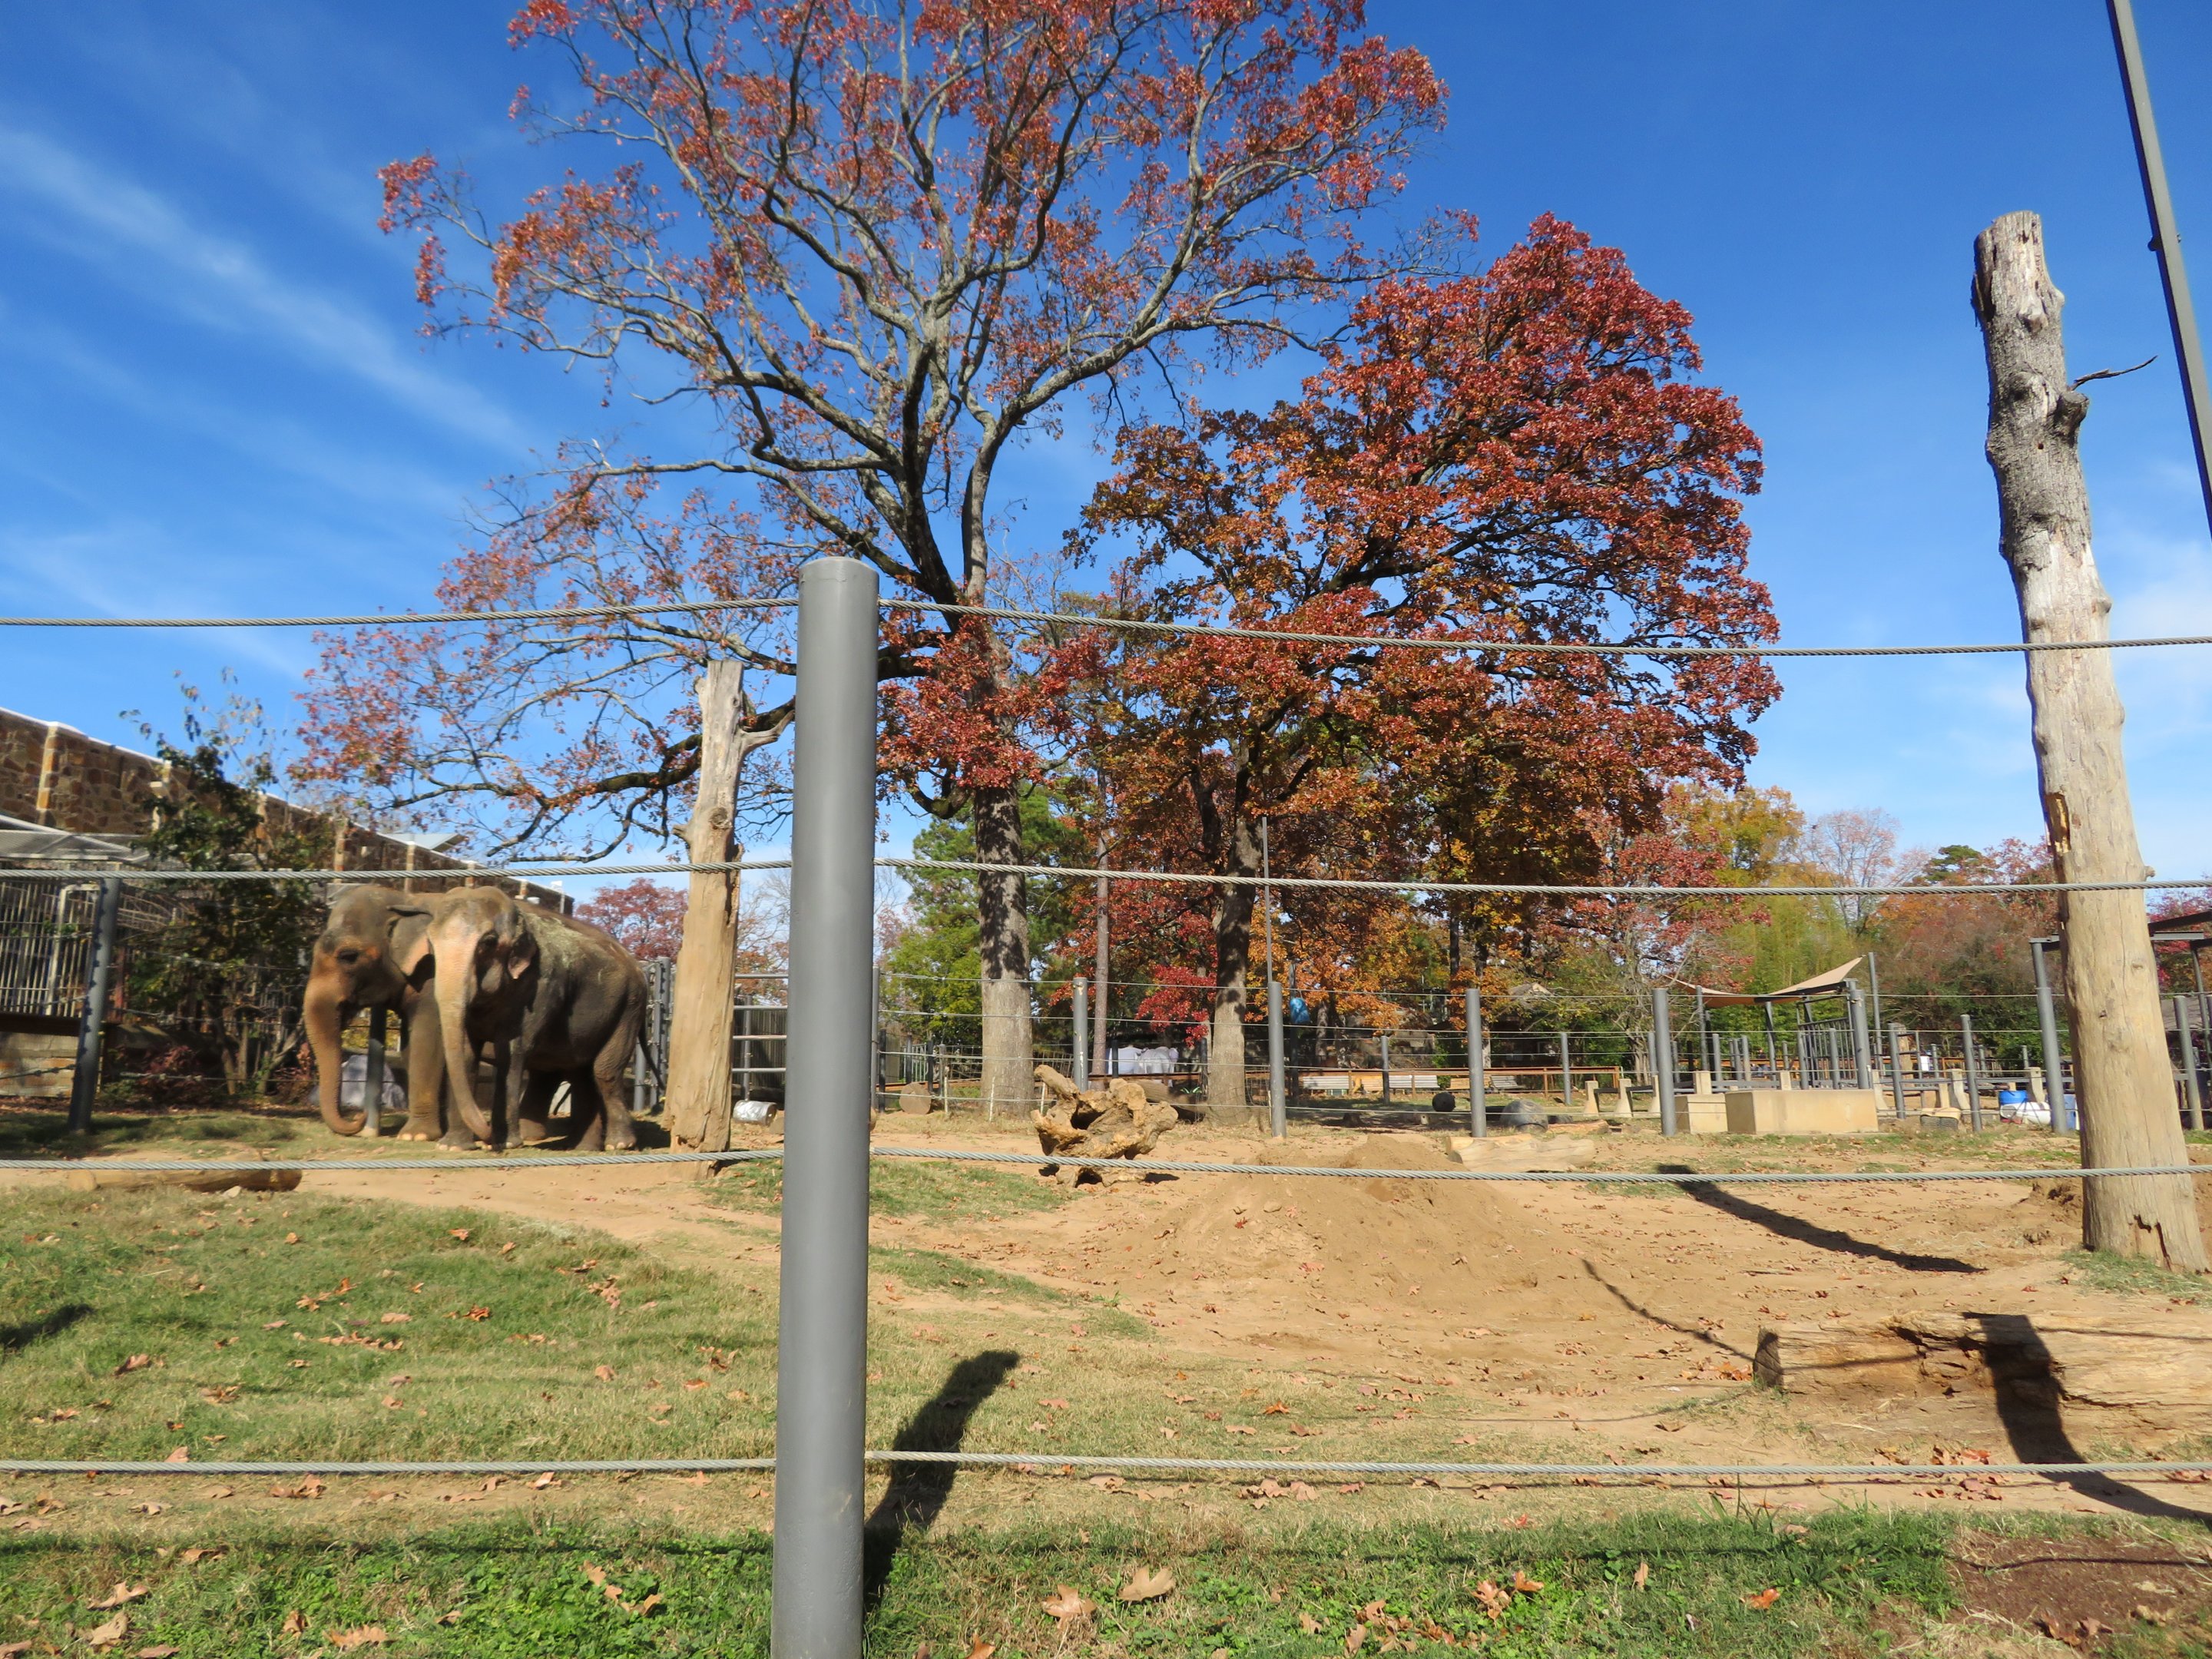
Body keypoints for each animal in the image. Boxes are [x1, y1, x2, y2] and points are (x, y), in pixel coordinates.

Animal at [301, 885, 464, 1144]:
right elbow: (410, 1048)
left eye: (348, 956)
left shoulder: (436, 978)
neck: (405, 899)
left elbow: (426, 1041)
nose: (359, 1114)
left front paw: (416, 1136)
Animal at [401, 887, 647, 1151]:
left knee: (603, 1071)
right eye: (431, 943)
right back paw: (582, 1147)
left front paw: (506, 1143)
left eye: (487, 943)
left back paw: (619, 1145)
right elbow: (466, 1052)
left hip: (630, 1008)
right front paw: (452, 1147)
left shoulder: (541, 986)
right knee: (581, 1071)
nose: (486, 1136)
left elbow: (511, 1051)